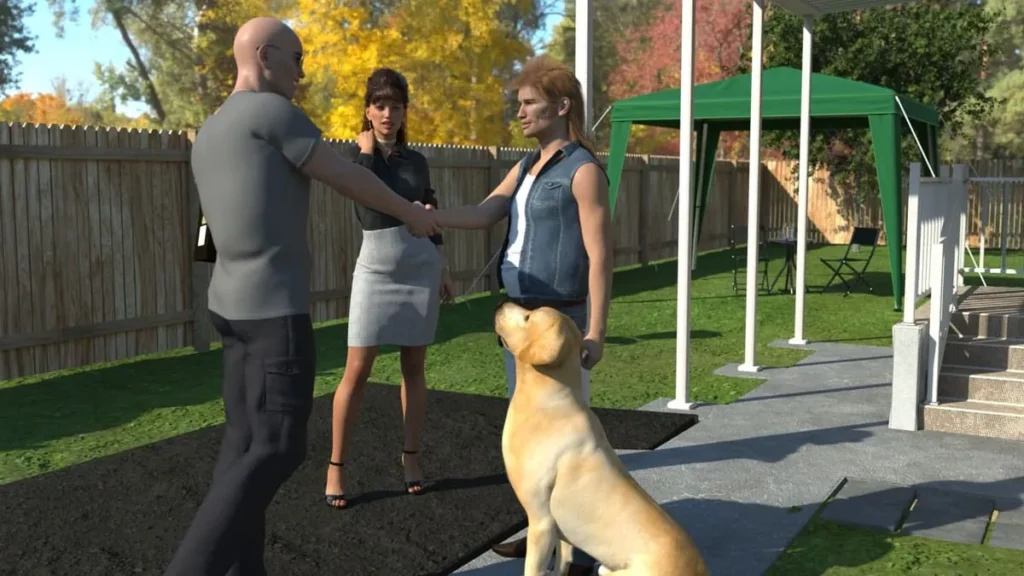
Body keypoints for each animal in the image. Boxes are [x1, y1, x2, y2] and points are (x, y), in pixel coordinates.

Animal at [494, 301, 708, 576]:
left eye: (529, 317)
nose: (501, 303)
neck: (549, 403)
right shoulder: (561, 535)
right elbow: (562, 561)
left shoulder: (541, 521)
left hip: (612, 570)